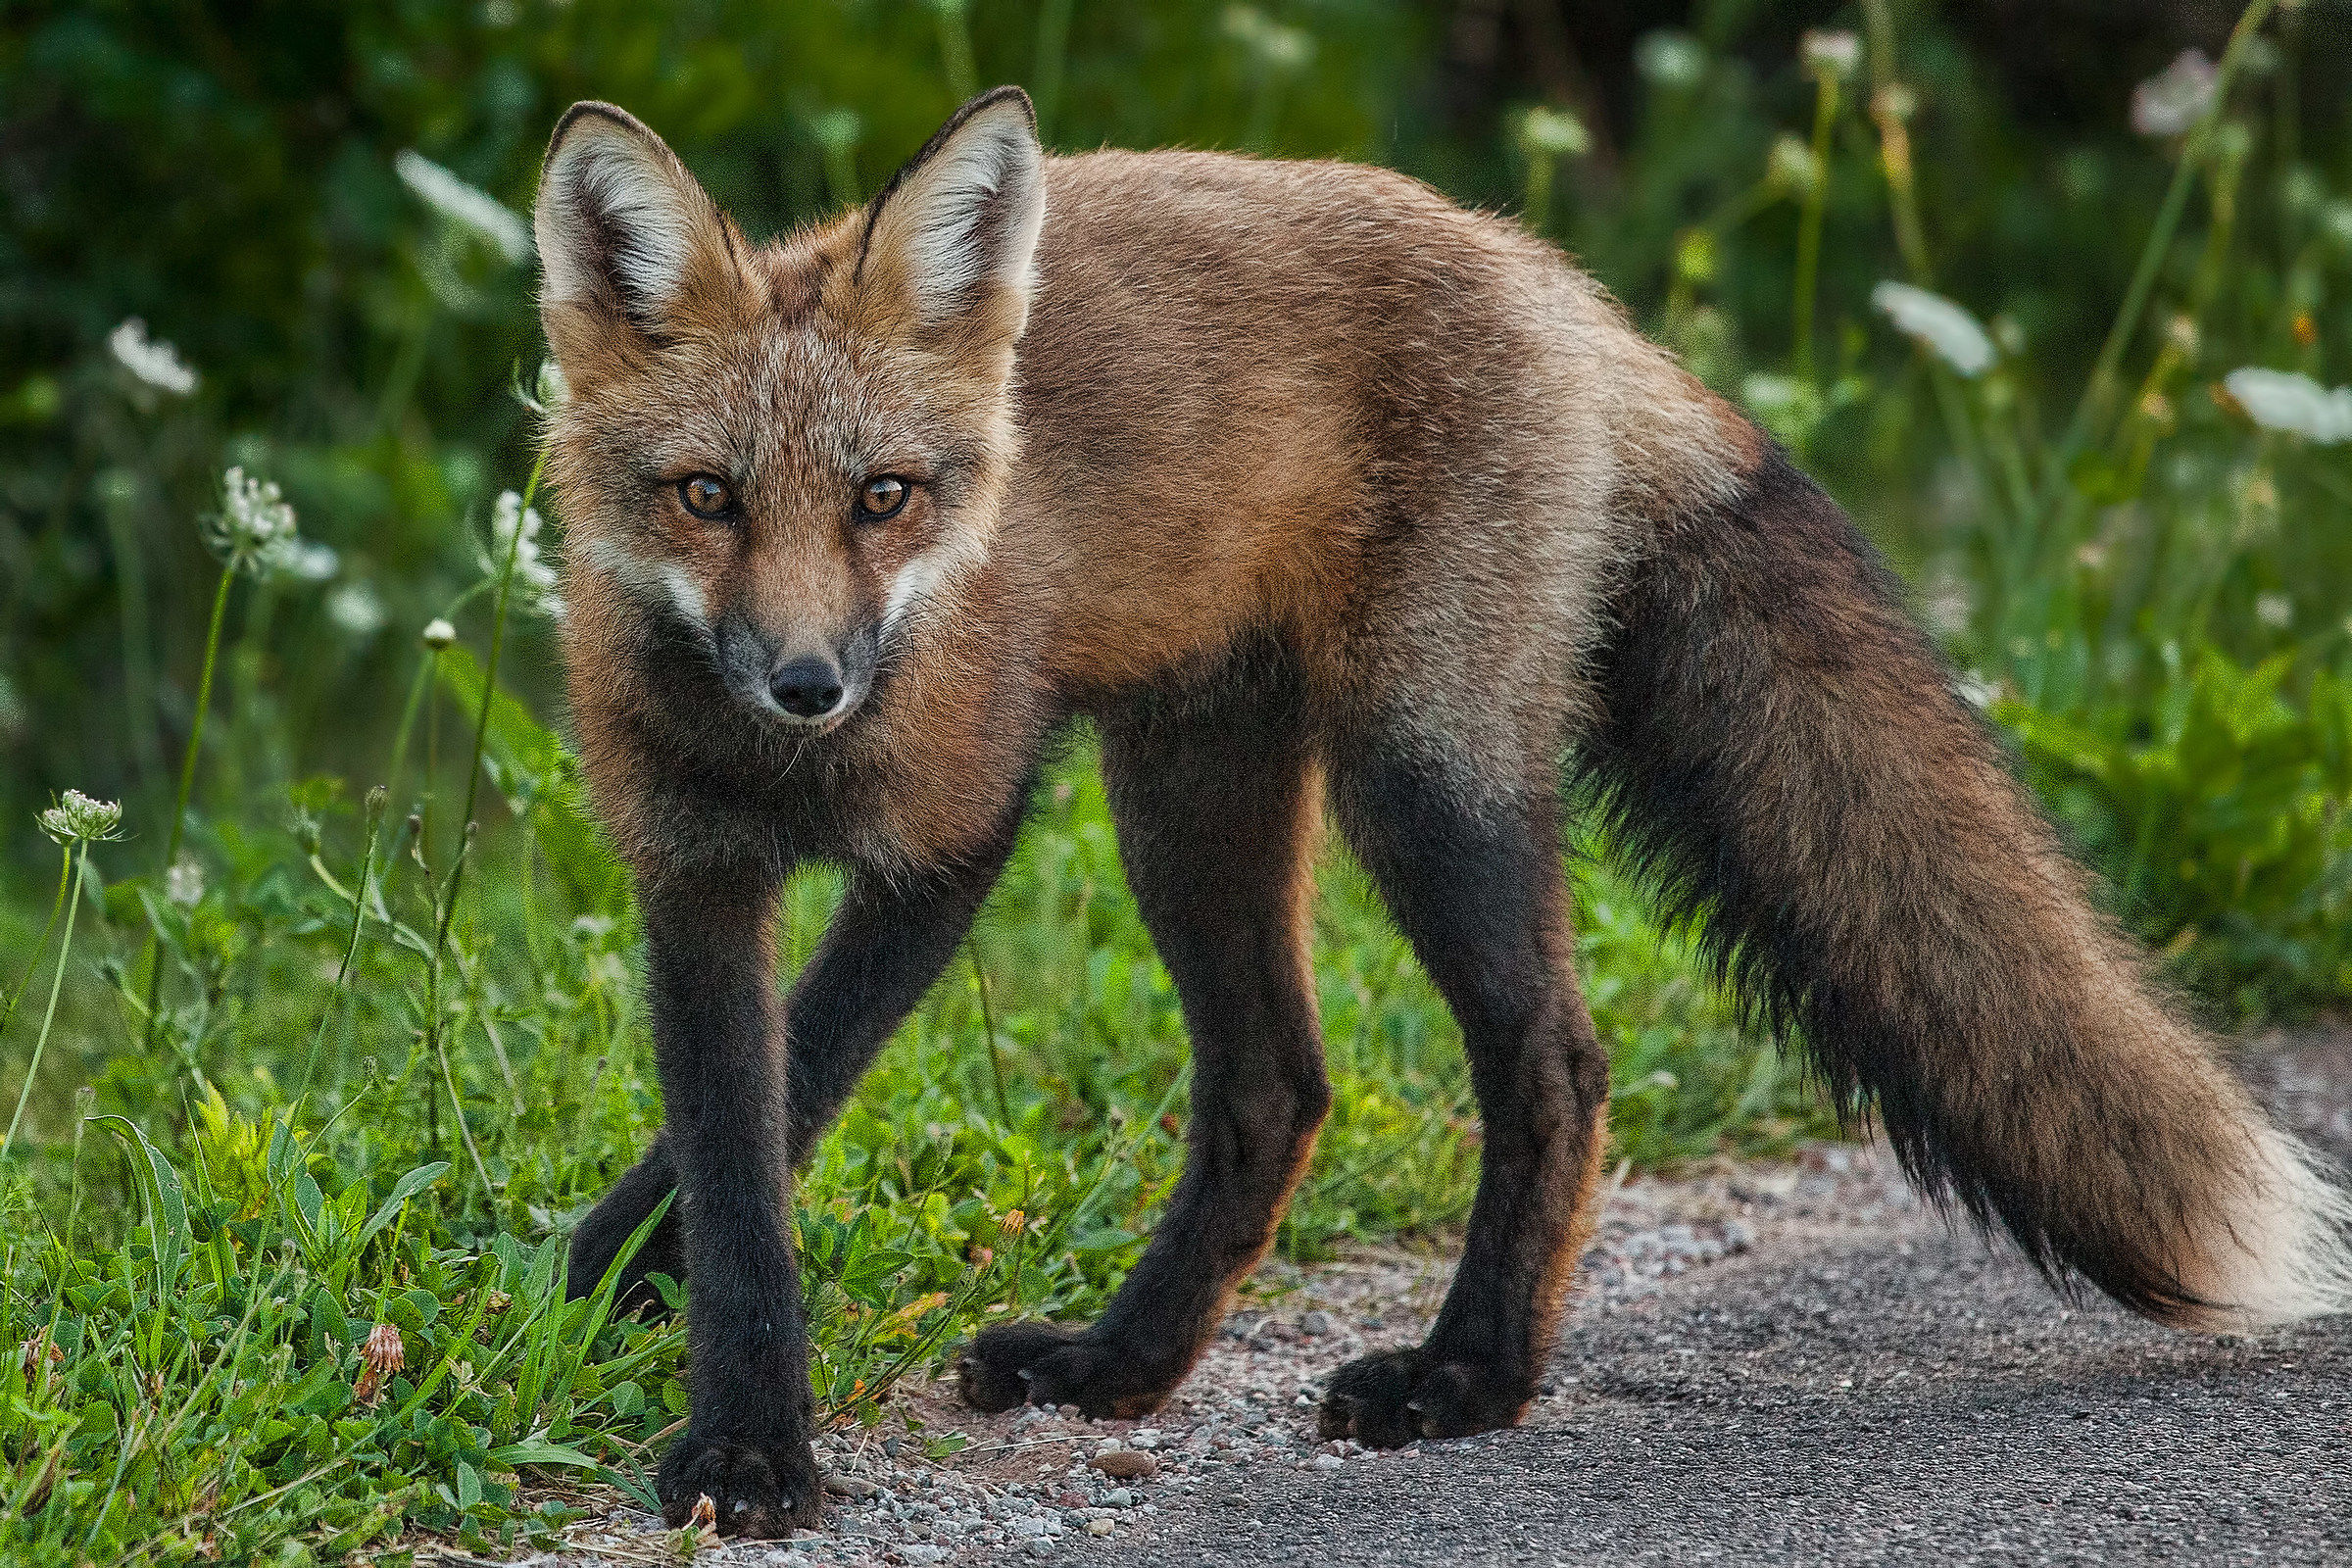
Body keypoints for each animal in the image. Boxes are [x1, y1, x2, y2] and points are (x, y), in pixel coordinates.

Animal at [535, 87, 2352, 1537]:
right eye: (706, 497)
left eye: (883, 498)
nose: (809, 685)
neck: (787, 775)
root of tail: (1545, 273)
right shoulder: (692, 876)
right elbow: (737, 1148)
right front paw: (665, 1341)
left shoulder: (951, 834)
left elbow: (793, 1096)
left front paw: (736, 1436)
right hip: (1186, 798)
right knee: (1274, 1085)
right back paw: (1123, 1362)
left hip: (1420, 780)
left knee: (1556, 1060)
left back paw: (1468, 1378)